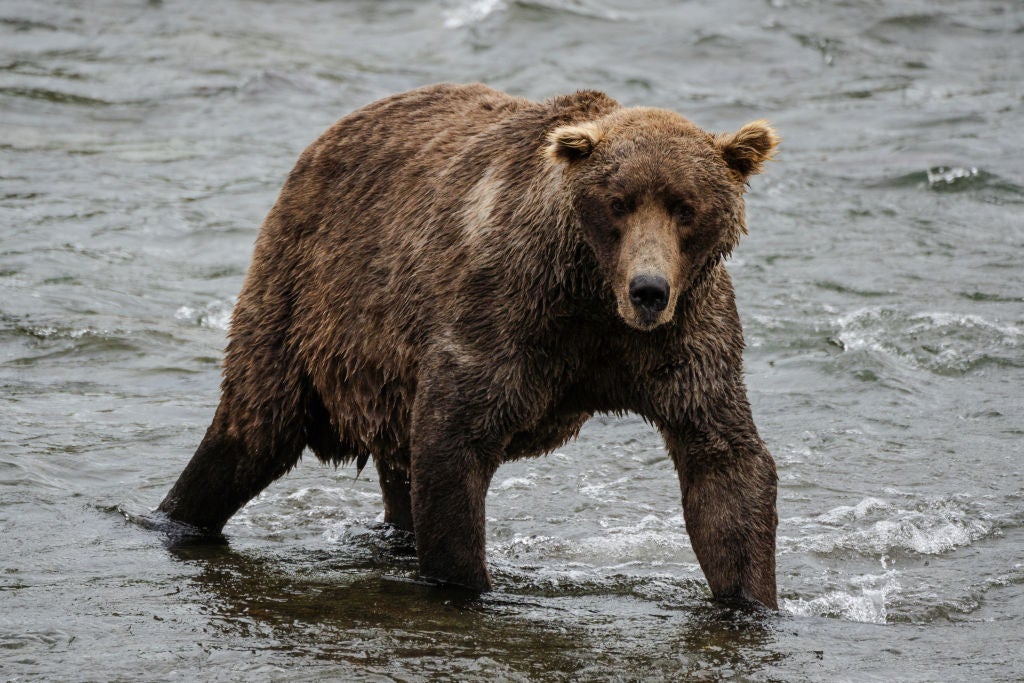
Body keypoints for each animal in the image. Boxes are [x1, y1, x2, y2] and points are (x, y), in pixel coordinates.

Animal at [157, 83, 780, 608]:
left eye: (685, 207)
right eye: (618, 202)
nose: (648, 289)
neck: (591, 296)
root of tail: (332, 133)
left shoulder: (683, 337)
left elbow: (723, 461)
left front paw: (749, 602)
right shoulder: (506, 311)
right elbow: (454, 441)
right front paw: (469, 587)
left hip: (385, 379)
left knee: (395, 465)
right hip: (308, 298)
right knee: (252, 427)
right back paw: (177, 517)